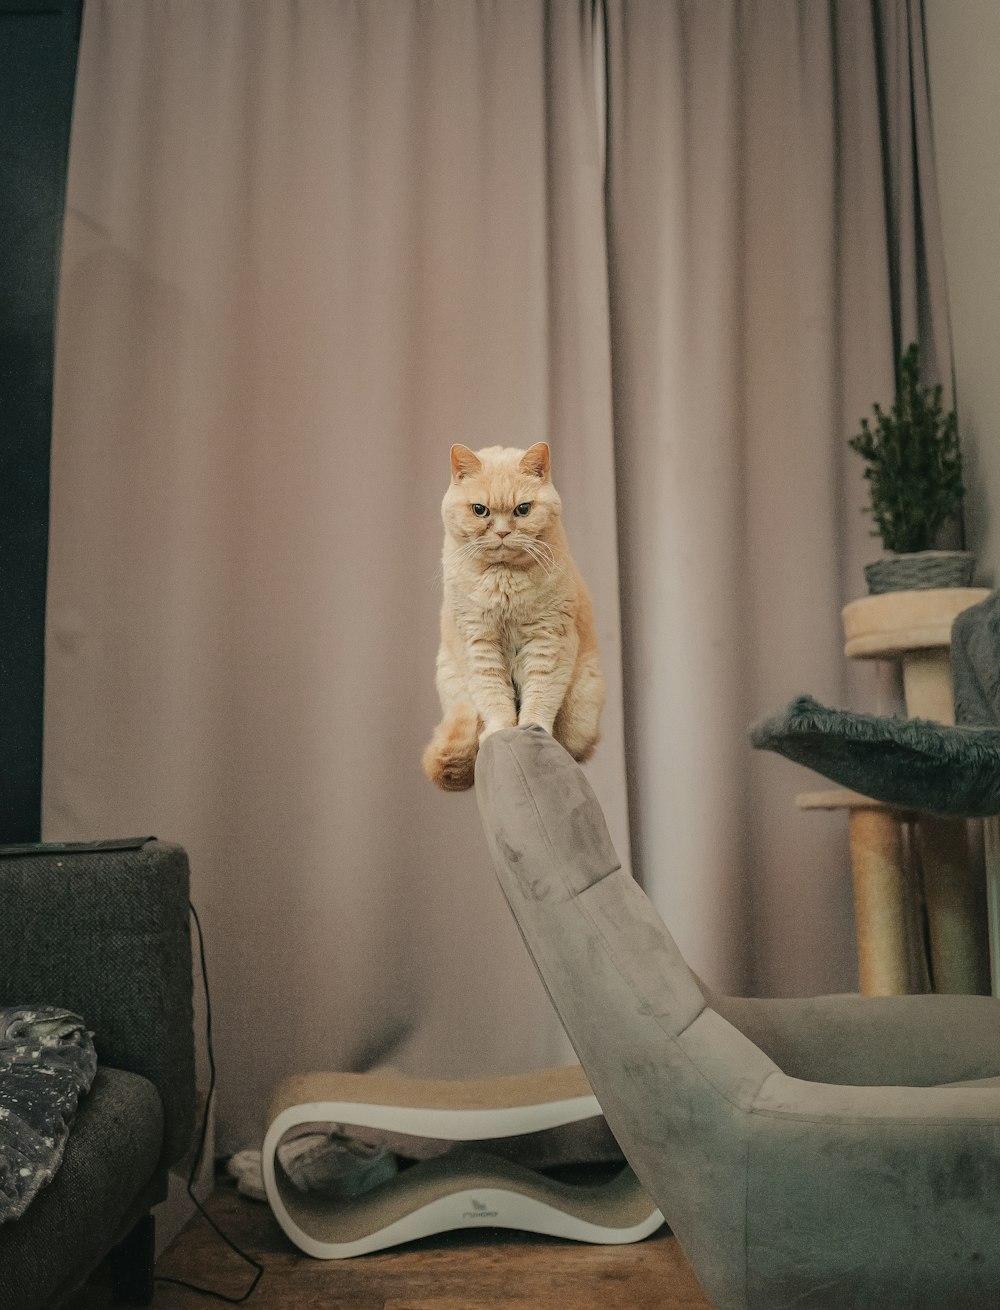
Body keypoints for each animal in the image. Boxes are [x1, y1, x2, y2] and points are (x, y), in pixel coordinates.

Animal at [422, 440, 602, 791]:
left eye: (523, 509)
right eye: (480, 510)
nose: (504, 533)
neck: (504, 579)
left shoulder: (548, 640)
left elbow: (540, 695)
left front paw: (533, 730)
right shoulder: (478, 642)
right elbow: (493, 693)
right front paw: (500, 730)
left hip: (581, 714)